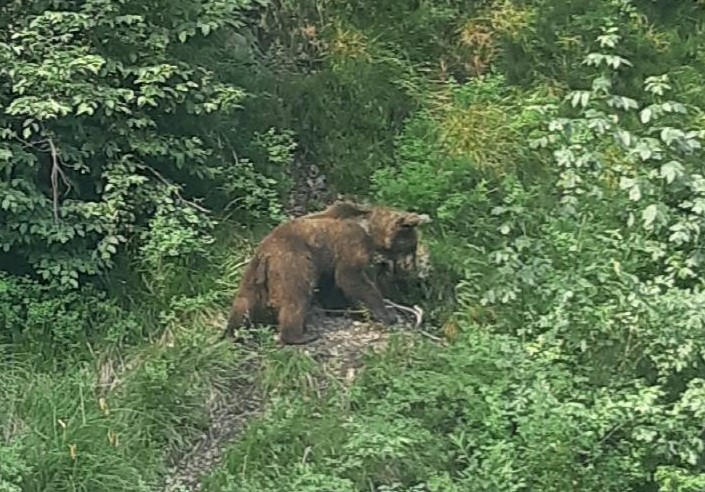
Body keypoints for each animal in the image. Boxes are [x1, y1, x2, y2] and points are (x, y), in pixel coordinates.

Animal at [223, 200, 431, 345]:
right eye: (412, 246)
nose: (412, 267)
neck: (371, 233)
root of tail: (267, 253)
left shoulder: (329, 259)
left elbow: (332, 283)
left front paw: (339, 308)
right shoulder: (350, 244)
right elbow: (351, 278)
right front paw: (387, 314)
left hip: (253, 271)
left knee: (243, 301)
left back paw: (231, 331)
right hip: (294, 262)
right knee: (296, 297)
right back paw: (299, 336)